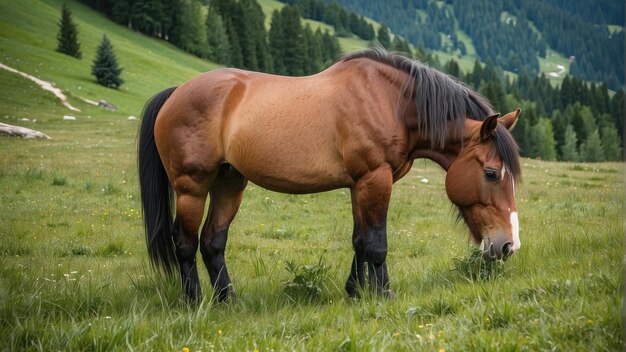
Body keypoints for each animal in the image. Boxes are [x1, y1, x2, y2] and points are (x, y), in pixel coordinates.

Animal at [138, 45, 520, 302]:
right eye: (491, 173)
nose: (507, 246)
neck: (393, 103)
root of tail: (176, 92)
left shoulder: (359, 184)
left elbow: (360, 241)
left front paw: (356, 292)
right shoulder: (375, 179)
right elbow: (377, 244)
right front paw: (383, 295)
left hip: (229, 183)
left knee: (213, 242)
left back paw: (227, 300)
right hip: (192, 188)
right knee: (185, 243)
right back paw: (195, 301)